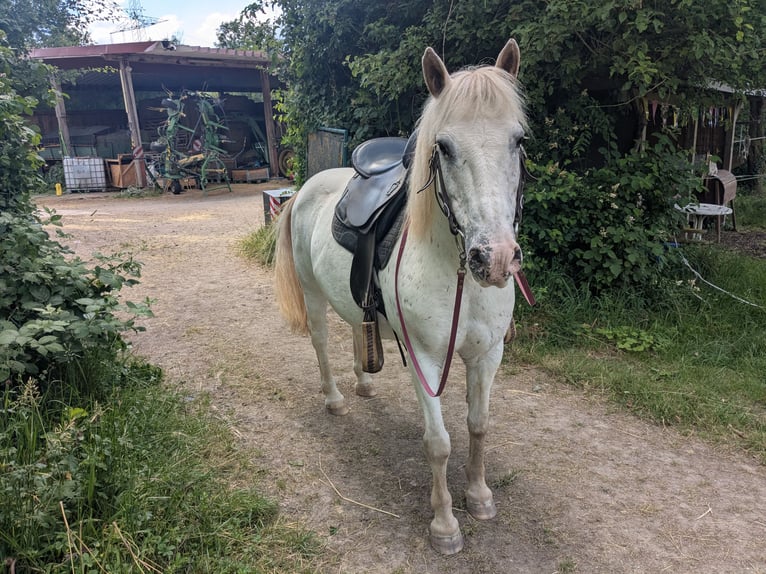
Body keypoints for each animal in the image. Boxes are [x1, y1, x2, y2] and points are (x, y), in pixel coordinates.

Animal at [274, 38, 528, 554]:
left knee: (357, 329)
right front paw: (445, 524)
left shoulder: (488, 354)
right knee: (321, 343)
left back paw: (363, 384)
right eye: (444, 147)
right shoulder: (425, 360)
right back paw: (335, 398)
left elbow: (478, 425)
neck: (457, 274)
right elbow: (439, 443)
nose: (493, 258)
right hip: (312, 295)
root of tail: (309, 185)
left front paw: (479, 497)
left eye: (518, 141)